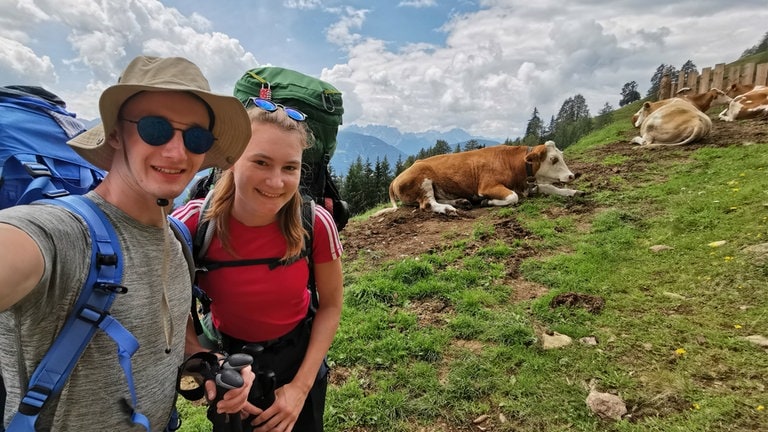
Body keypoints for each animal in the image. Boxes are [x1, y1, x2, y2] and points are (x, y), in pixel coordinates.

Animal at [378, 141, 584, 215]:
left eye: (561, 155)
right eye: (553, 159)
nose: (571, 175)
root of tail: (396, 178)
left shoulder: (528, 185)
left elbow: (551, 187)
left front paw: (573, 191)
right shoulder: (488, 186)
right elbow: (513, 197)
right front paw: (487, 202)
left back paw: (461, 202)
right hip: (424, 180)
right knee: (428, 203)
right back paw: (449, 209)